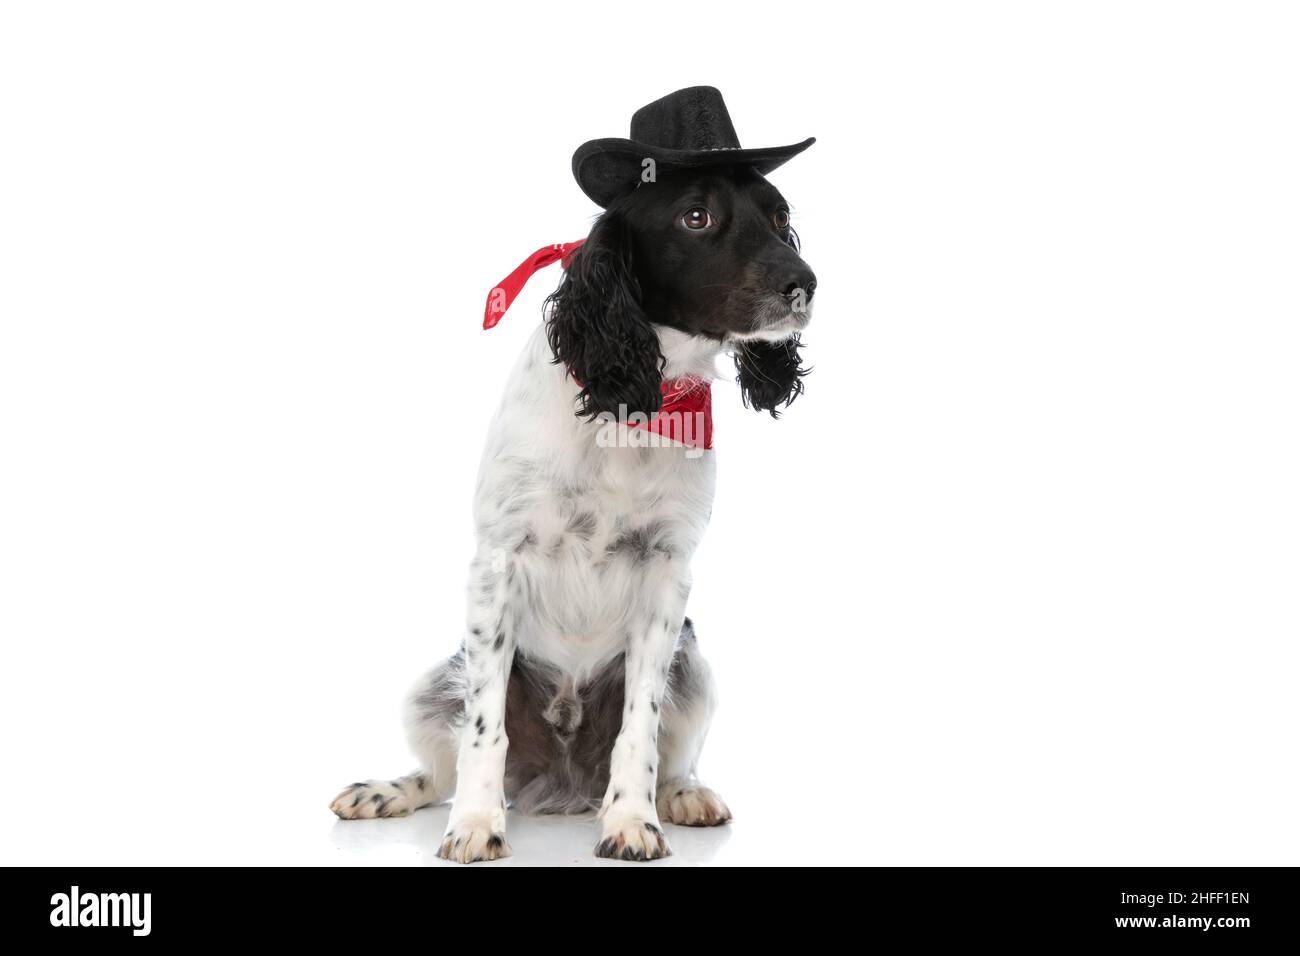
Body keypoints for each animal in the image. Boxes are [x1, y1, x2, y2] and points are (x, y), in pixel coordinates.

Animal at [330, 91, 816, 868]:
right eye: (697, 217)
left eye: (778, 216)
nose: (805, 284)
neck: (636, 398)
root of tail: (558, 783)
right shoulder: (499, 561)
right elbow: (483, 731)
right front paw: (475, 824)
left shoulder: (668, 576)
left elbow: (641, 727)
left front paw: (631, 821)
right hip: (433, 681)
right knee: (437, 769)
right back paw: (386, 792)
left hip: (695, 664)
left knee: (674, 753)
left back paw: (684, 796)